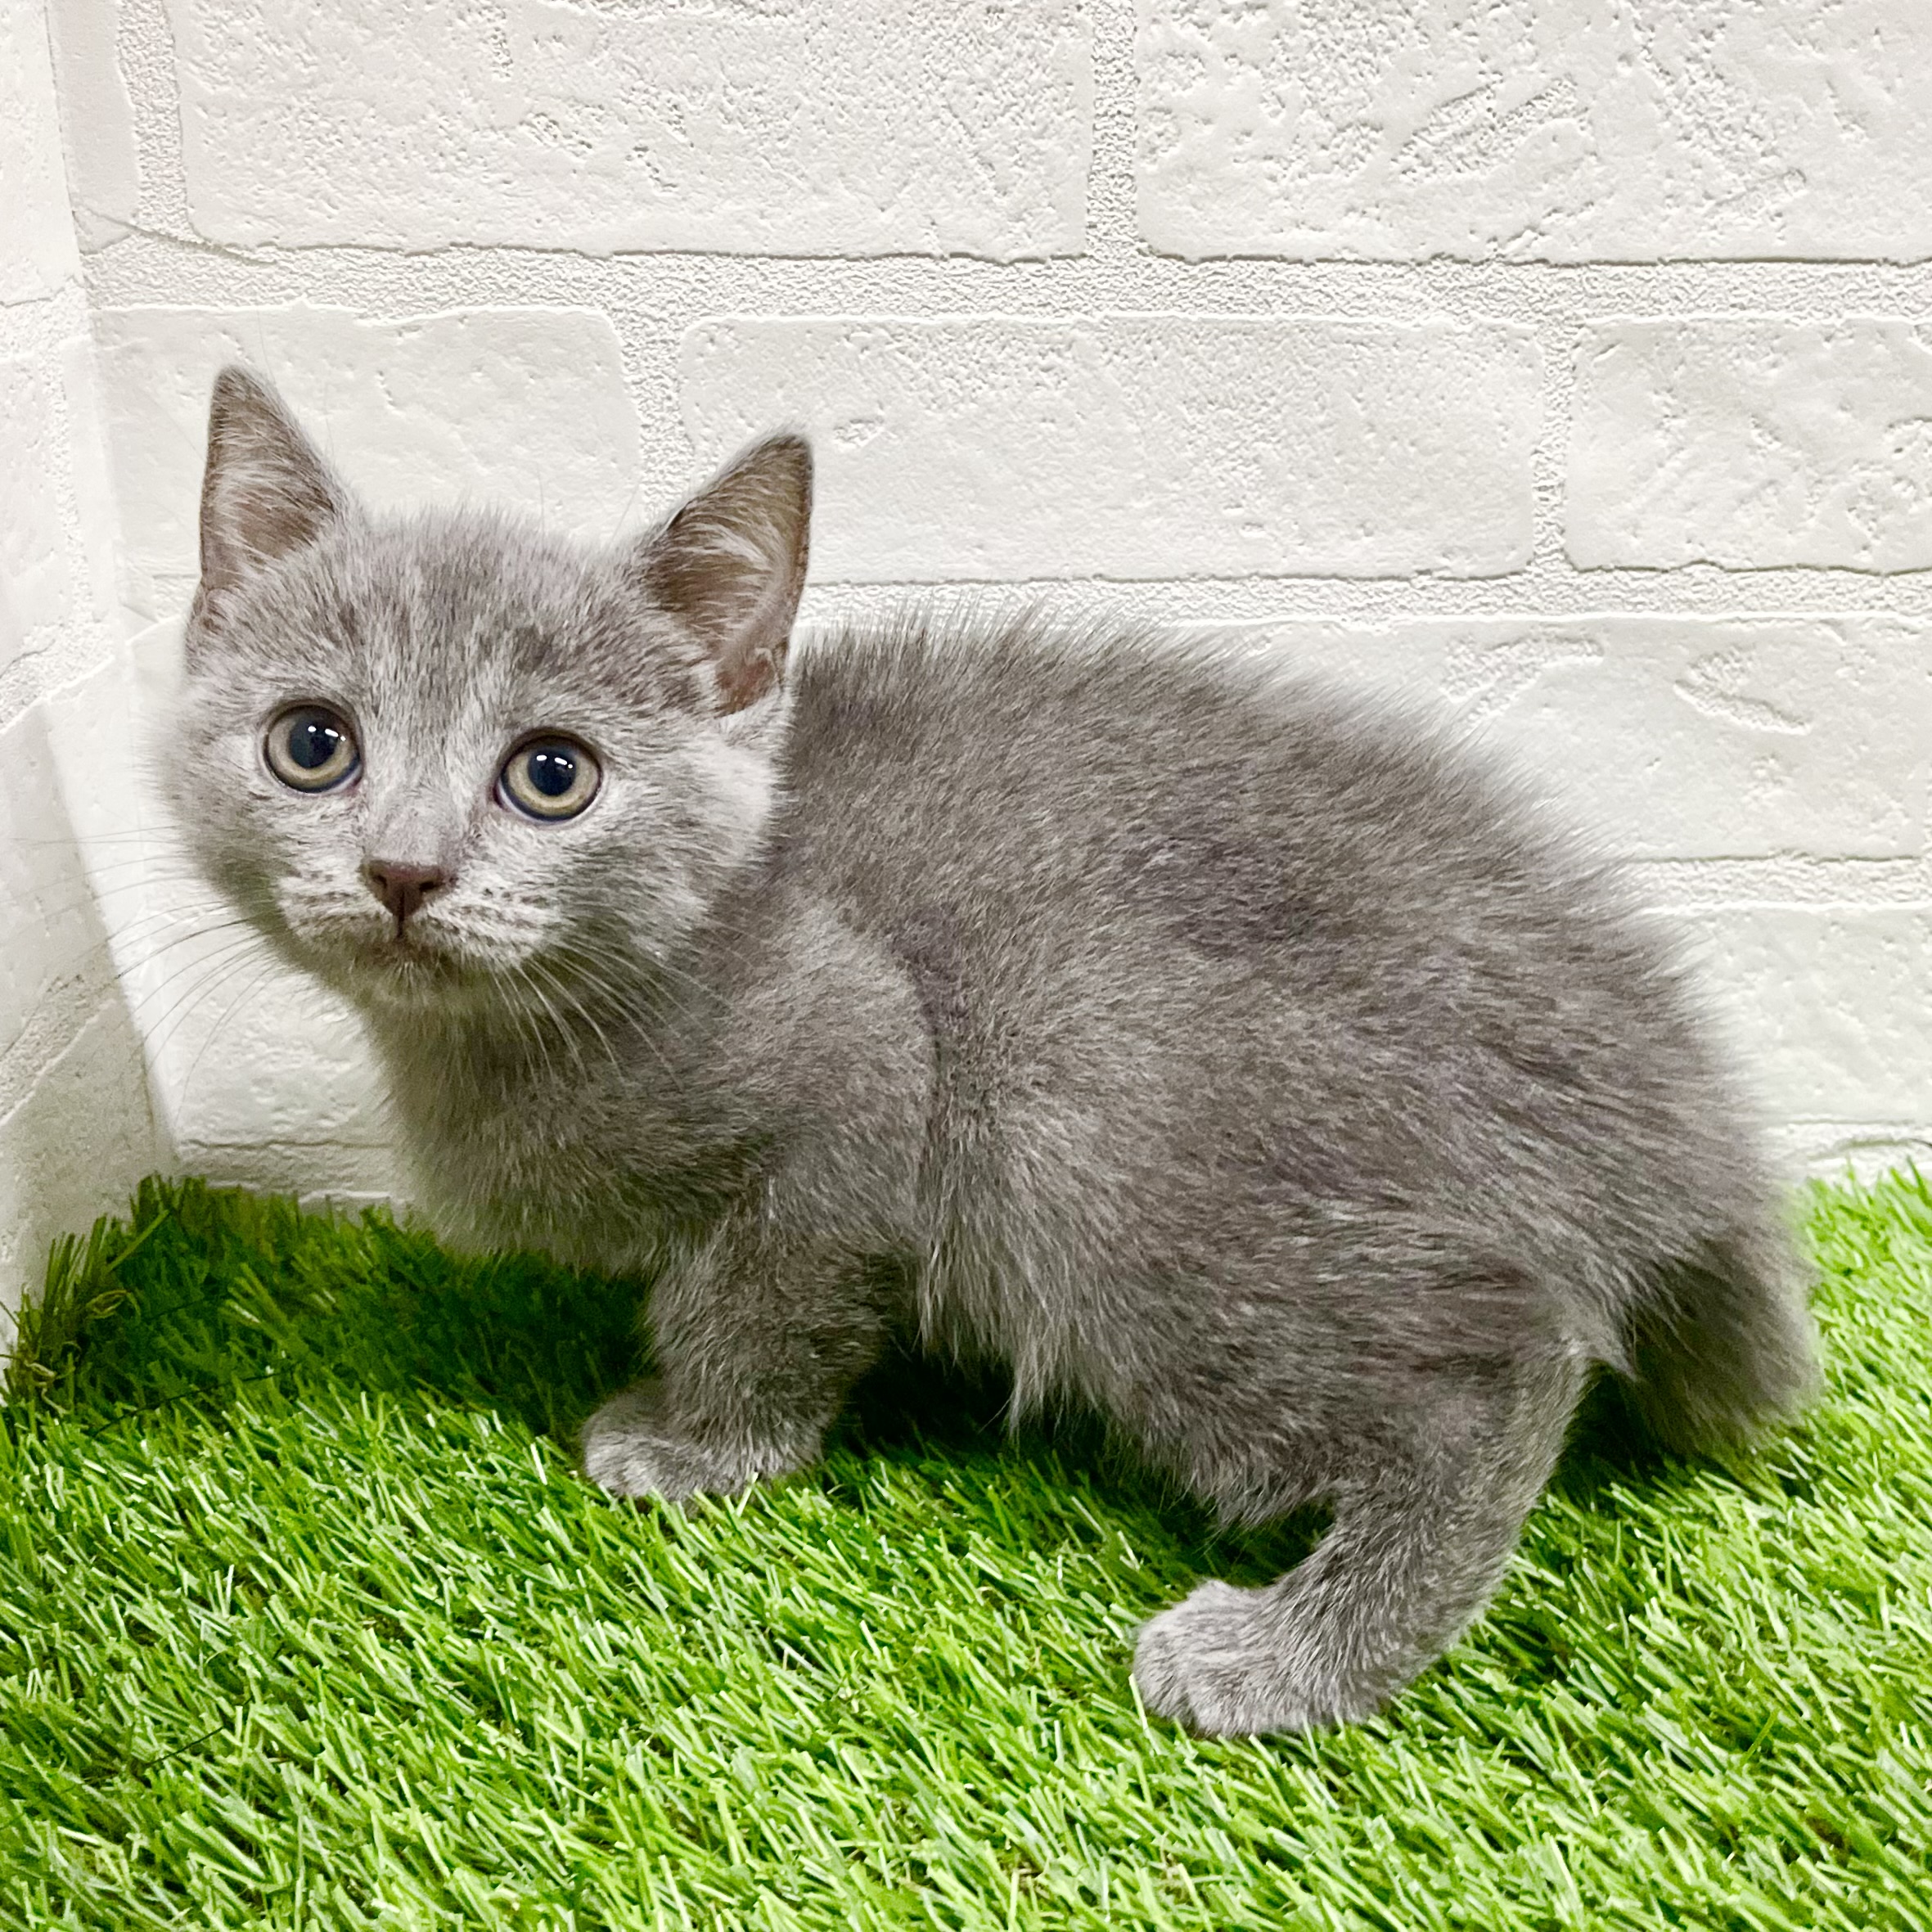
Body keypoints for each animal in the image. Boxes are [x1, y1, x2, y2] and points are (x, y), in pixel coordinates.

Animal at [170, 366, 1819, 1736]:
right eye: (311, 744)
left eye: (552, 774)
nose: (403, 871)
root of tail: (1674, 1113)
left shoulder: (864, 1058)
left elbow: (766, 1300)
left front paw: (700, 1447)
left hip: (1094, 1103)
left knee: (1497, 1370)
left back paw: (1288, 1656)